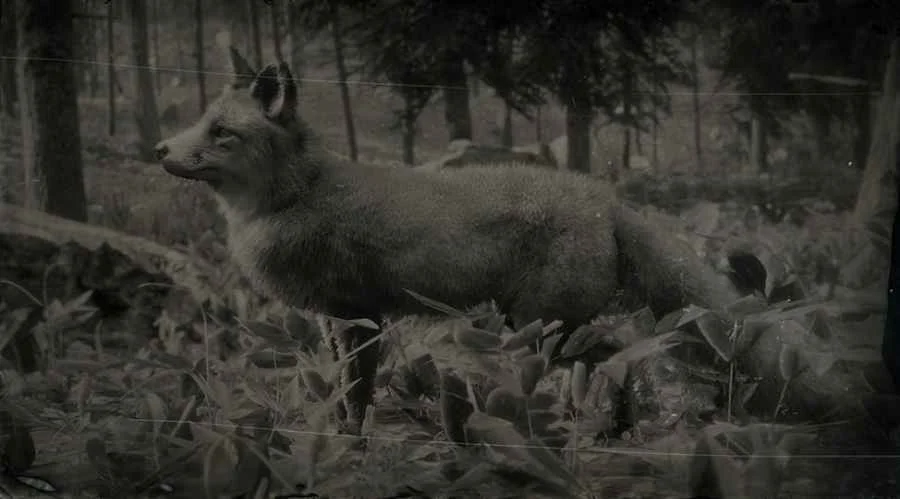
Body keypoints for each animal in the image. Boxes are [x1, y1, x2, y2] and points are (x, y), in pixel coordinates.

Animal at [154, 48, 744, 435]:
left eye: (221, 133)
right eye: (200, 123)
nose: (160, 150)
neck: (303, 196)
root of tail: (602, 196)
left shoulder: (363, 318)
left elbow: (358, 395)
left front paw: (352, 445)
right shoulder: (331, 319)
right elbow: (343, 392)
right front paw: (340, 437)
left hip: (540, 330)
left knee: (619, 352)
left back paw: (607, 428)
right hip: (542, 330)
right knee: (617, 353)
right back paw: (605, 428)